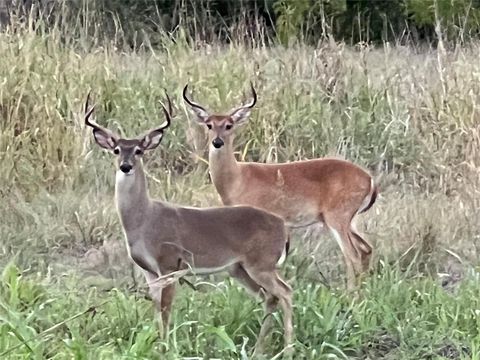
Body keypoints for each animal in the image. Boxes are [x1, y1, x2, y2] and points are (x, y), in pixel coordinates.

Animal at [182, 83, 376, 290]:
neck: (237, 179)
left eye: (229, 124)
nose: (217, 142)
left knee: (353, 255)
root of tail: (369, 179)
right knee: (366, 249)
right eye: (209, 124)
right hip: (348, 221)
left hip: (337, 218)